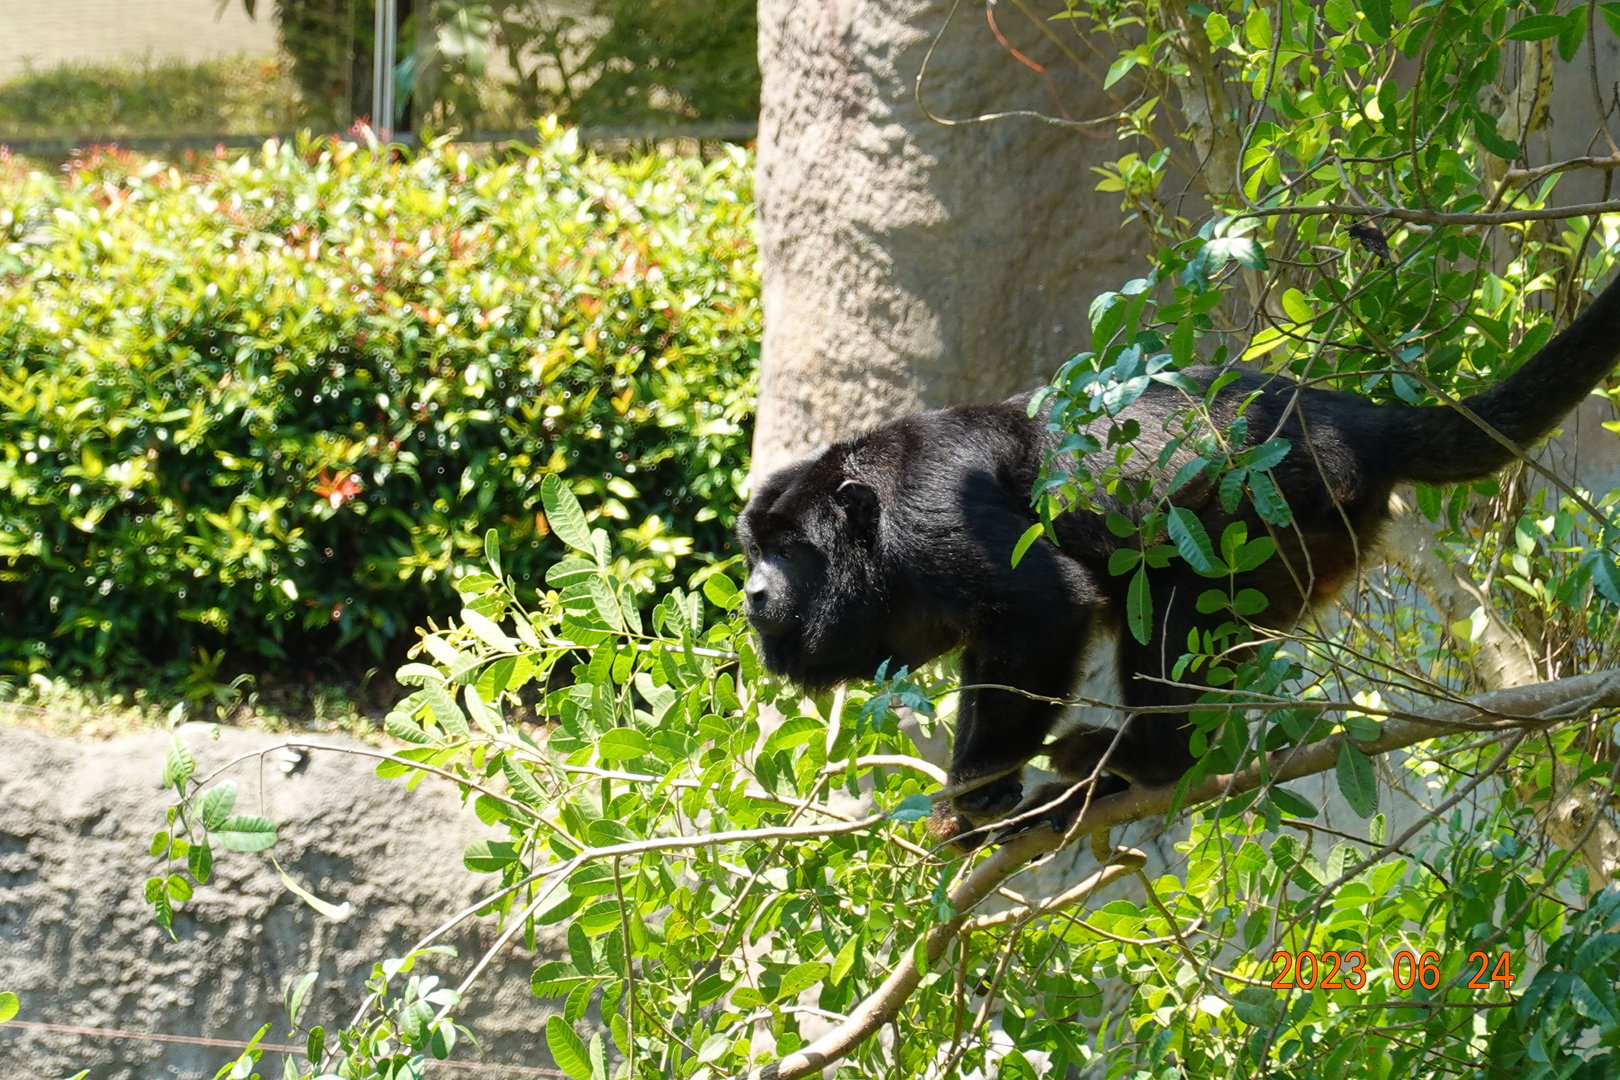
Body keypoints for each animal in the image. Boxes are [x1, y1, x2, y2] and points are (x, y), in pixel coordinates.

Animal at [738, 273, 1620, 847]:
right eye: (755, 550)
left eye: (790, 551)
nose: (751, 590)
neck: (874, 516)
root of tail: (1357, 423)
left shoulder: (930, 509)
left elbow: (1045, 607)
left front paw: (978, 793)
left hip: (1279, 505)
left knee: (1167, 595)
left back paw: (1145, 759)